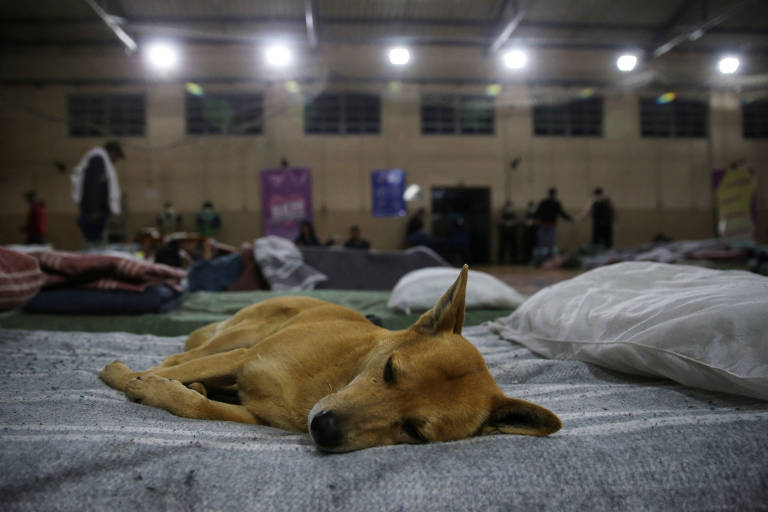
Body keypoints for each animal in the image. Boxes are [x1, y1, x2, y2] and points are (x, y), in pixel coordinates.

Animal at [99, 266, 560, 450]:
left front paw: (168, 391)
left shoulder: (259, 415)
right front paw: (131, 378)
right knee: (180, 355)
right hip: (238, 336)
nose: (323, 430)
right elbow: (163, 373)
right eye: (389, 370)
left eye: (414, 431)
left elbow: (198, 407)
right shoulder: (243, 358)